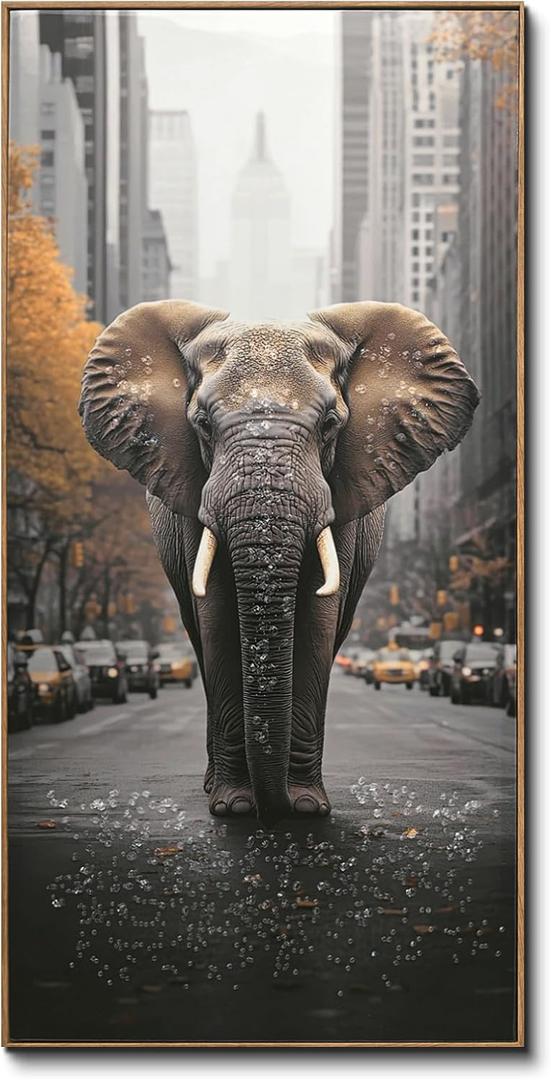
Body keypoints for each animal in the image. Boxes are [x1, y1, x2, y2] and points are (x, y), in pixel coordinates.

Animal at [79, 299, 479, 822]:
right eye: (202, 423)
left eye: (330, 424)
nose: (275, 807)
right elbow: (216, 617)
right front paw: (232, 806)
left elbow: (318, 620)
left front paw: (307, 806)